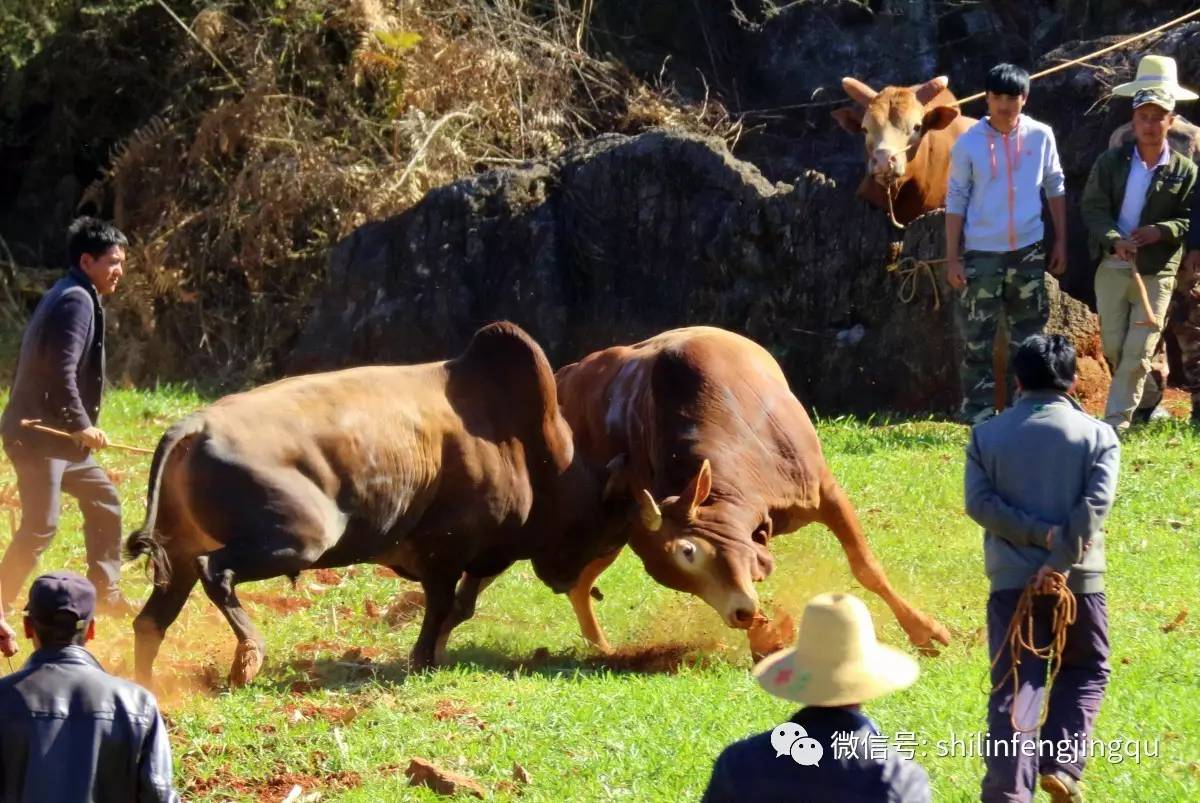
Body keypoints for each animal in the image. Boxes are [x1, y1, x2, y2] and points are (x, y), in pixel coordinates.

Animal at [124, 321, 628, 686]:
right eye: (597, 527)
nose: (568, 579)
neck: (524, 444)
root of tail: (196, 426)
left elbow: (454, 606)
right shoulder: (446, 550)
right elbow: (441, 607)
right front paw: (423, 660)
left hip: (180, 554)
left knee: (150, 621)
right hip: (299, 538)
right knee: (216, 571)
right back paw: (250, 655)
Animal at [556, 326, 950, 652]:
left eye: (688, 550)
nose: (739, 615)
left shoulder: (824, 490)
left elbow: (865, 566)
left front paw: (924, 630)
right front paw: (764, 638)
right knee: (578, 582)